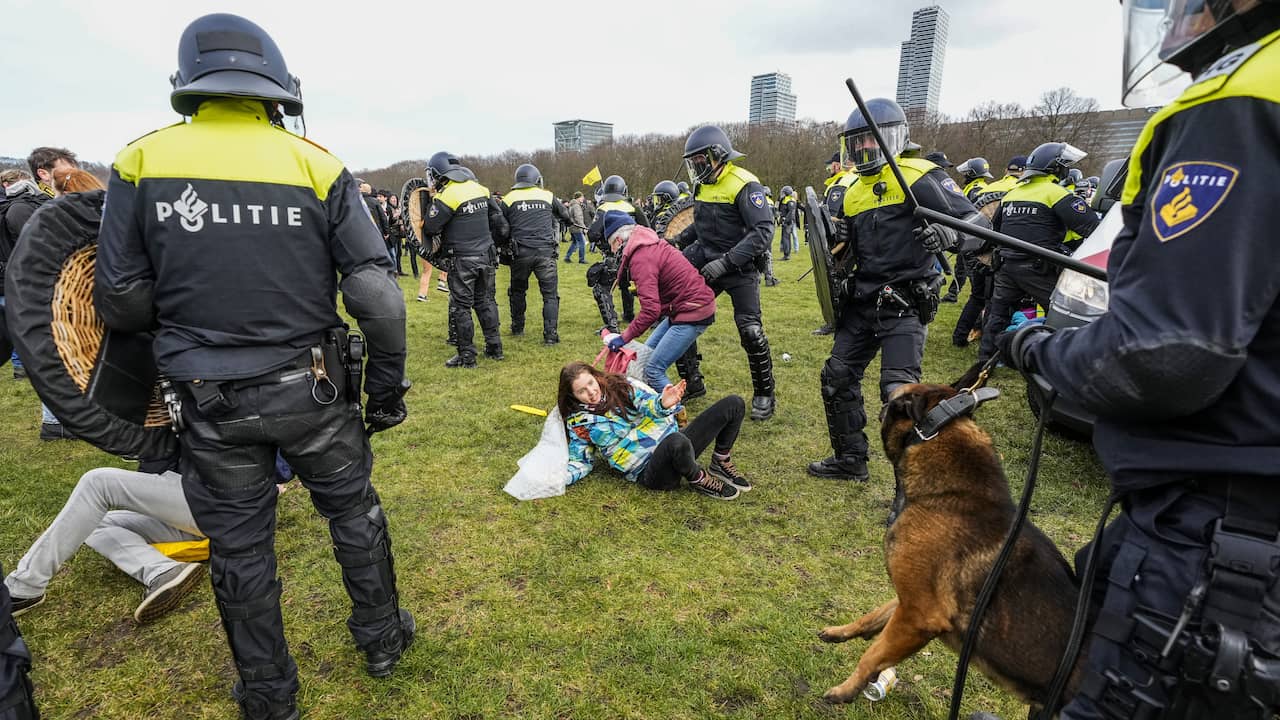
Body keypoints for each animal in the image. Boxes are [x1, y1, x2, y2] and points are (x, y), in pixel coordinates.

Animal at [819, 379, 1080, 702]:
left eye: (893, 399)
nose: (881, 401)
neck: (949, 495)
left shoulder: (919, 615)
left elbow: (873, 654)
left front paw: (847, 689)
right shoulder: (913, 602)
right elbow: (876, 614)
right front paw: (842, 631)